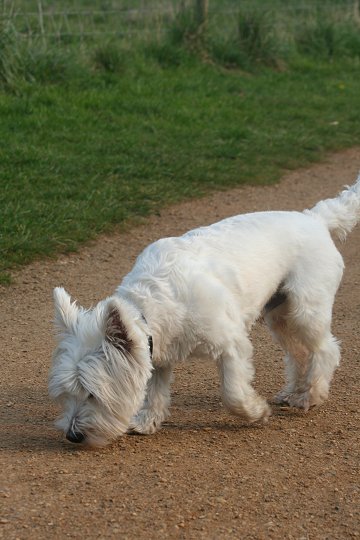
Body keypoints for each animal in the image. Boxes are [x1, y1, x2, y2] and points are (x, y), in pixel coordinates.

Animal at [49, 175, 360, 446]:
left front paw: (256, 412)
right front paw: (148, 421)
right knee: (297, 352)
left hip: (306, 310)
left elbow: (232, 393)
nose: (73, 436)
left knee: (326, 349)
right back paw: (293, 391)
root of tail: (314, 218)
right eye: (68, 393)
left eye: (93, 394)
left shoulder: (232, 345)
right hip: (279, 315)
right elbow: (155, 392)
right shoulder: (158, 353)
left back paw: (311, 395)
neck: (151, 304)